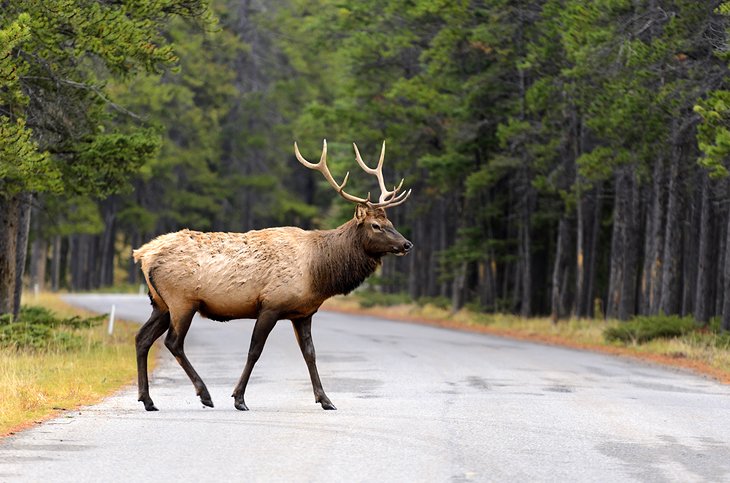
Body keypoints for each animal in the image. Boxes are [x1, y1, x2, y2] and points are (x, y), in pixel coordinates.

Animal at [134, 140, 412, 412]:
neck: (318, 273)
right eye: (376, 226)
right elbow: (254, 351)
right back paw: (204, 394)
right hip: (182, 301)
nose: (407, 244)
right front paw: (239, 398)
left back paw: (148, 400)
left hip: (161, 304)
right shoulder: (271, 305)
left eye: (391, 223)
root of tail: (143, 254)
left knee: (142, 338)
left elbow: (310, 353)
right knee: (173, 342)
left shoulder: (304, 313)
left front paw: (325, 399)